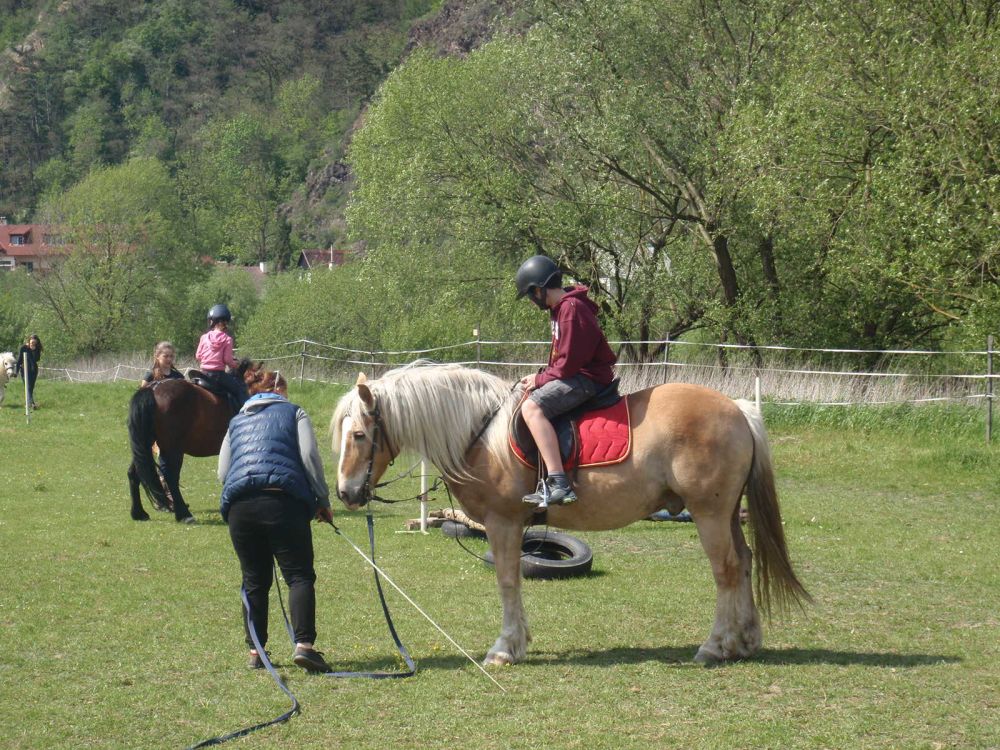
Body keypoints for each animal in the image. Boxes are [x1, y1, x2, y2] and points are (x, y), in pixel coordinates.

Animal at [127, 359, 264, 523]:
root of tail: (154, 388)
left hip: (146, 446)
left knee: (135, 473)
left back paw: (139, 513)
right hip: (172, 449)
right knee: (170, 477)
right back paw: (183, 514)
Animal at [332, 362, 810, 666]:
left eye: (359, 435)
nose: (346, 493)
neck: (481, 432)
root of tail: (738, 408)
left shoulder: (503, 524)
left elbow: (507, 581)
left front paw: (505, 648)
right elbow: (514, 581)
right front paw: (519, 642)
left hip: (709, 513)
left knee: (726, 570)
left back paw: (715, 646)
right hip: (726, 513)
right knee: (744, 562)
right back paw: (746, 641)